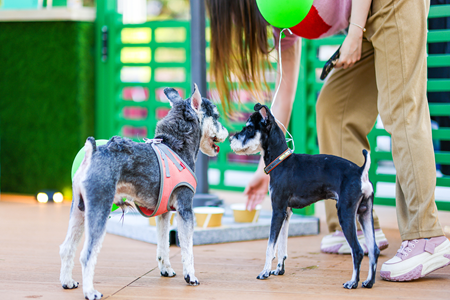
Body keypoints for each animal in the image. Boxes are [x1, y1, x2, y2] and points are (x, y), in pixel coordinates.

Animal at [59, 85, 229, 300]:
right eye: (215, 116)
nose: (228, 132)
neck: (177, 146)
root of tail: (92, 152)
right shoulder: (185, 209)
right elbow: (187, 248)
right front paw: (190, 276)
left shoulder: (164, 214)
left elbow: (163, 244)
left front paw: (166, 269)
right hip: (99, 209)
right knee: (86, 255)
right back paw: (90, 292)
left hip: (78, 211)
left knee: (66, 248)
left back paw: (67, 282)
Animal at [230, 103, 382, 288]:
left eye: (250, 128)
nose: (231, 139)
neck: (281, 162)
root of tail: (361, 172)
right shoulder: (286, 213)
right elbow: (281, 245)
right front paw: (279, 269)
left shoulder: (277, 211)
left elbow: (270, 246)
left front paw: (265, 272)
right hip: (364, 213)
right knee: (373, 249)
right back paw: (368, 282)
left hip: (346, 214)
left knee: (358, 251)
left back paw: (353, 282)